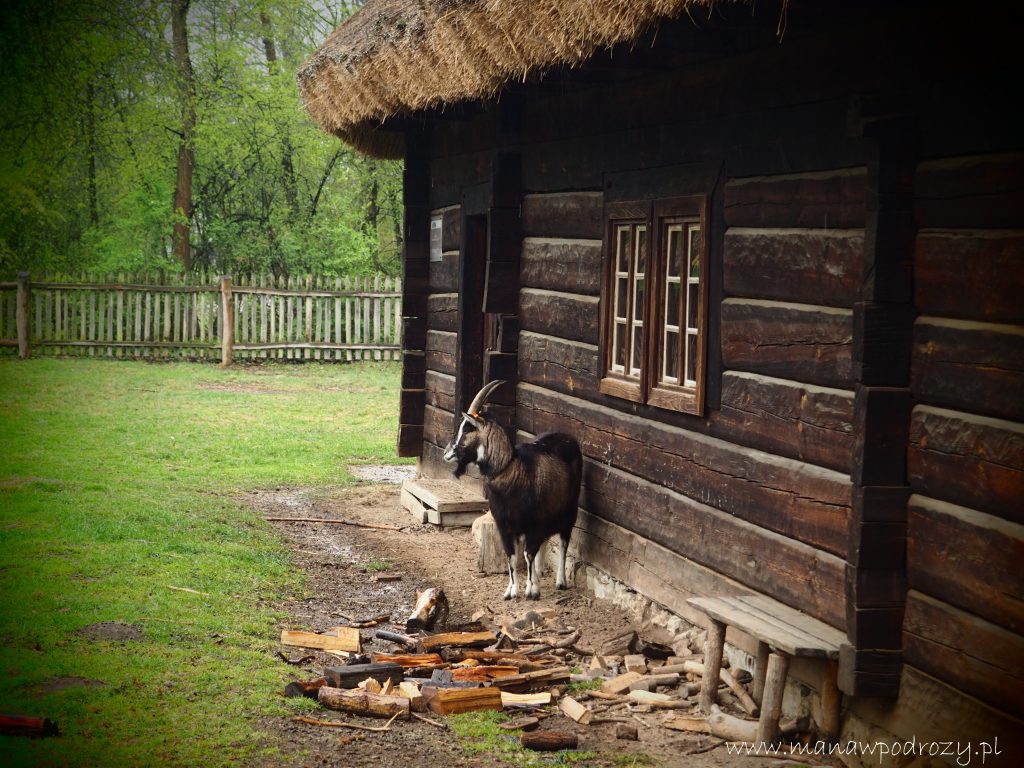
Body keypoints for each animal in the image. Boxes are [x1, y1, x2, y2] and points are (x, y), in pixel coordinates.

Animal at [442, 382, 585, 606]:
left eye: (467, 429)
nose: (446, 453)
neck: (511, 469)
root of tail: (569, 438)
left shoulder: (534, 523)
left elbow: (527, 554)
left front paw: (531, 591)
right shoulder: (505, 525)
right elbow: (512, 556)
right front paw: (511, 591)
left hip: (569, 511)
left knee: (563, 542)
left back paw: (560, 581)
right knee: (544, 543)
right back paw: (538, 575)